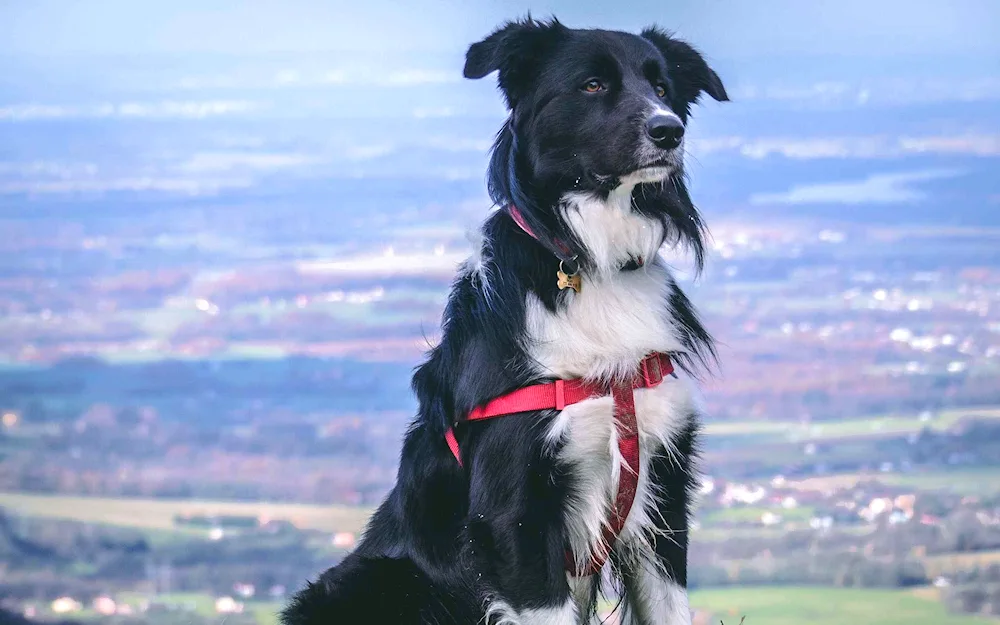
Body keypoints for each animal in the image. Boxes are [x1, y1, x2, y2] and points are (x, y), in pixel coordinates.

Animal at [282, 17, 728, 620]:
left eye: (662, 87)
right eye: (592, 85)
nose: (669, 130)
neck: (592, 262)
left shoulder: (663, 490)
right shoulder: (514, 515)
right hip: (373, 581)